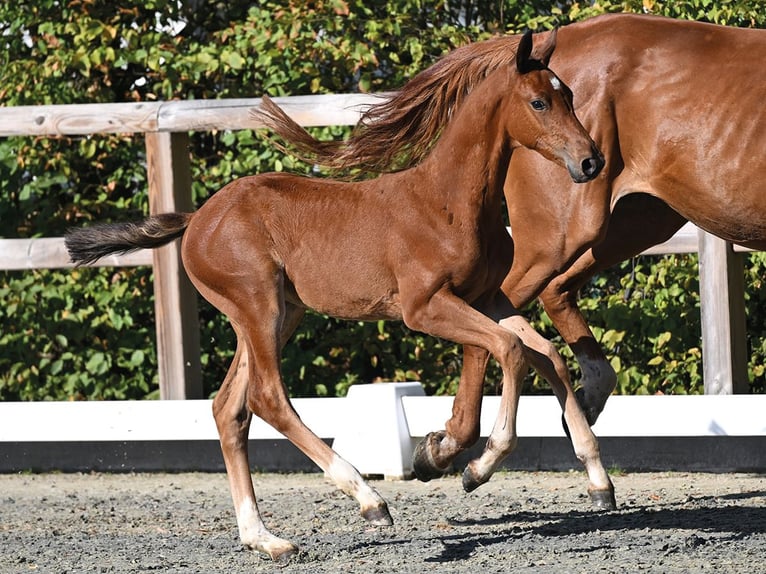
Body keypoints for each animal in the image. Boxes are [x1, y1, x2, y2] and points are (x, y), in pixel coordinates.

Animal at [65, 31, 612, 561]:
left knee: (229, 410)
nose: (591, 161)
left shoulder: (488, 299)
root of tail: (196, 218)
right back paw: (370, 501)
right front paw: (473, 467)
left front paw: (597, 480)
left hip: (277, 315)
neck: (448, 201)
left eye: (568, 95)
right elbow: (510, 349)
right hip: (258, 306)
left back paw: (266, 539)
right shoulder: (424, 307)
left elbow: (545, 354)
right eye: (539, 101)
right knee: (267, 398)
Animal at [287, 13, 766, 484]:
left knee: (547, 310)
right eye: (539, 103)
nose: (591, 161)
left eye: (568, 98)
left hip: (632, 223)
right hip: (564, 234)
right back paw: (457, 451)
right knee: (507, 327)